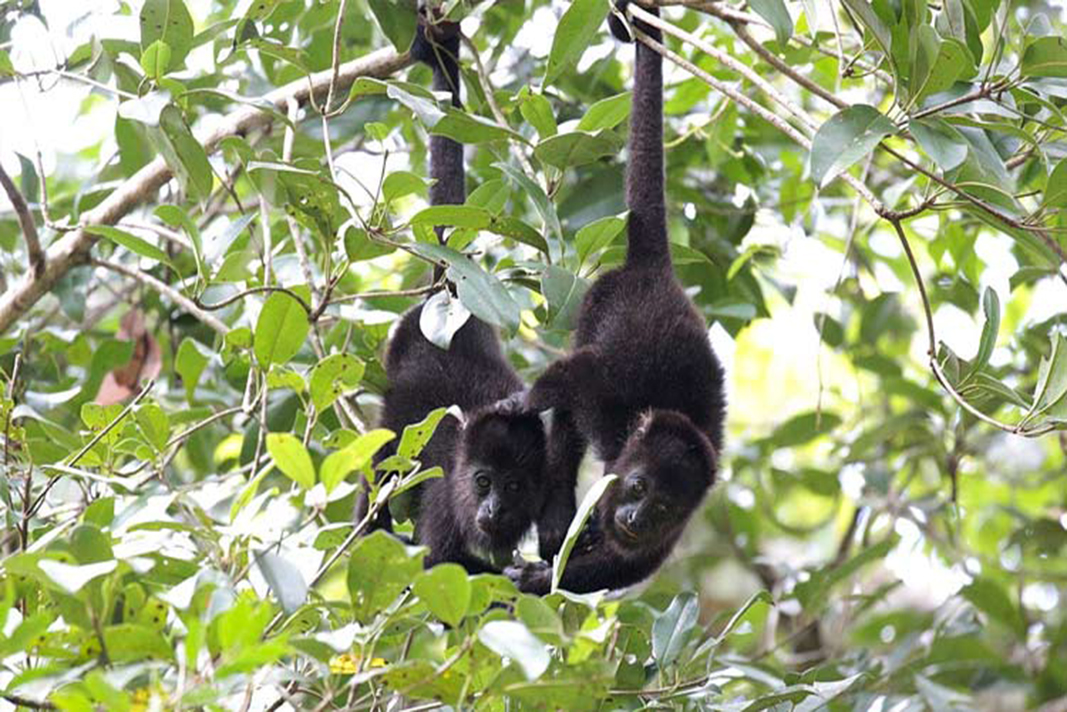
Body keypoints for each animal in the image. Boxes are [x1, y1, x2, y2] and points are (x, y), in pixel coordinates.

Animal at [353, 10, 547, 573]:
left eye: (513, 486)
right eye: (482, 482)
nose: (492, 509)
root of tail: (453, 302)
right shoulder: (445, 494)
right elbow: (441, 565)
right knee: (380, 479)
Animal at [505, 1, 726, 594]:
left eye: (664, 508)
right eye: (639, 487)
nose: (634, 518)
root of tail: (656, 271)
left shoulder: (673, 533)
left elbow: (618, 568)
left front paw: (539, 579)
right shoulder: (608, 395)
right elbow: (571, 378)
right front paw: (520, 404)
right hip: (599, 298)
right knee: (568, 411)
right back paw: (559, 515)